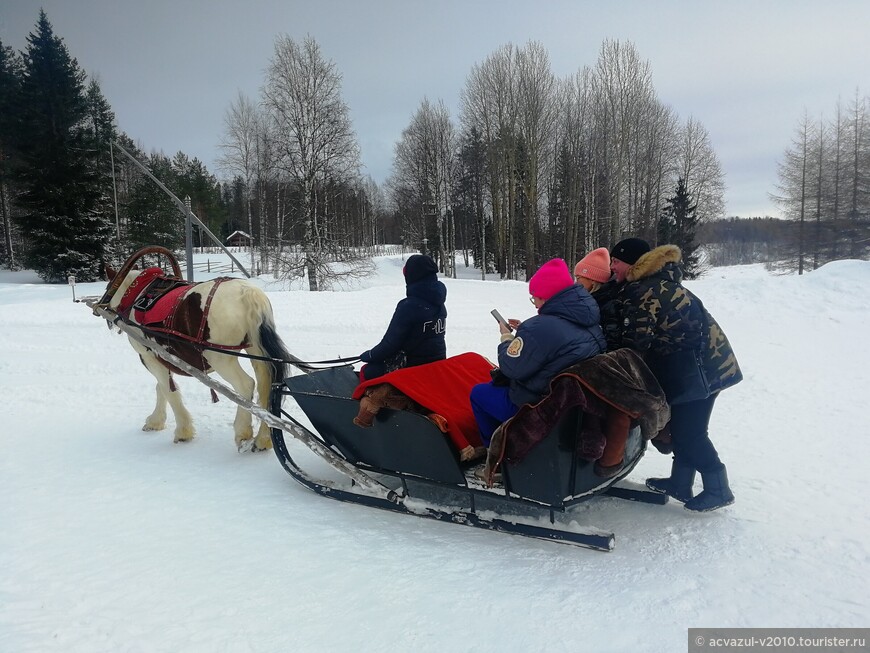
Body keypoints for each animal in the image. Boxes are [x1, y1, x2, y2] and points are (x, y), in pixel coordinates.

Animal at [103, 264, 296, 454]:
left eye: (107, 287)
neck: (137, 294)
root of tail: (247, 292)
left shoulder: (148, 355)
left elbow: (168, 389)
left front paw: (182, 431)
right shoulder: (162, 357)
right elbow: (162, 387)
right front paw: (156, 421)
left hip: (220, 358)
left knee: (245, 385)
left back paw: (243, 432)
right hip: (256, 351)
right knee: (266, 388)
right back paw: (263, 439)